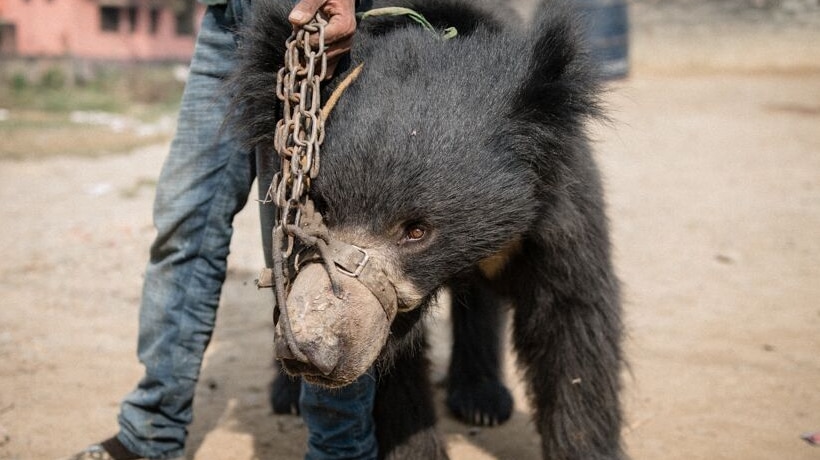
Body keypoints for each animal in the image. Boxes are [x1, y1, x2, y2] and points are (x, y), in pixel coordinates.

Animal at [227, 0, 624, 456]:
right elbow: (391, 368)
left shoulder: (553, 207)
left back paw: (481, 400)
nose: (312, 352)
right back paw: (287, 396)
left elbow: (572, 318)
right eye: (319, 209)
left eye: (416, 231)